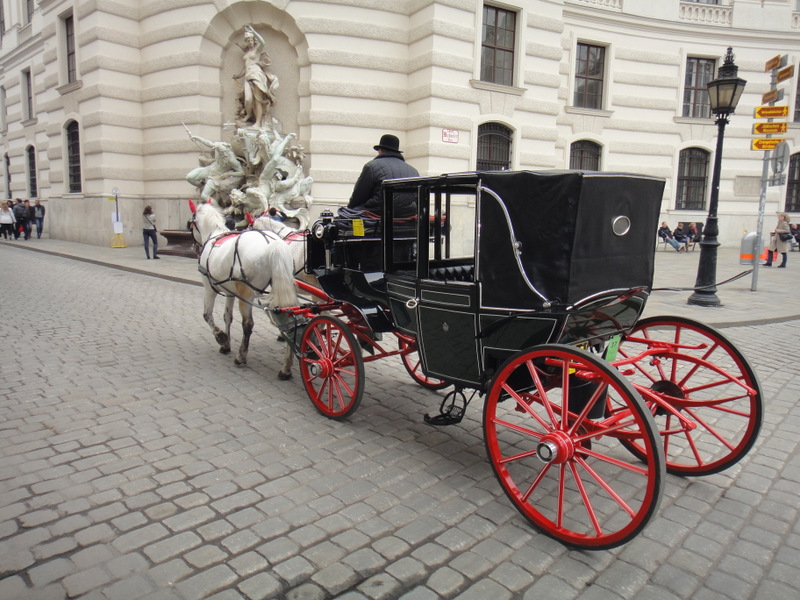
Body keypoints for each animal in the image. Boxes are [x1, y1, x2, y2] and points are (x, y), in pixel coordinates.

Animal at [191, 202, 300, 380]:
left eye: (191, 224)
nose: (194, 246)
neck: (214, 234)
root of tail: (272, 243)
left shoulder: (209, 287)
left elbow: (207, 315)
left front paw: (221, 337)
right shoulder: (230, 292)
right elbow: (227, 317)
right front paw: (226, 344)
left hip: (246, 293)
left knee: (248, 324)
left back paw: (241, 356)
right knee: (290, 321)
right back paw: (286, 368)